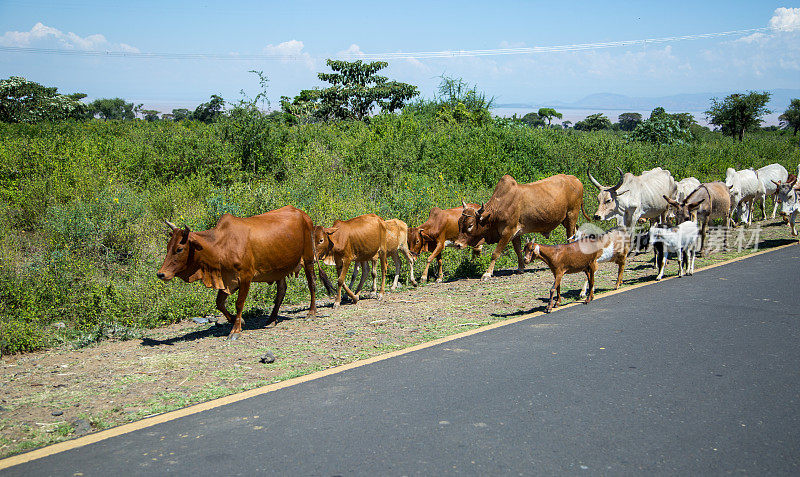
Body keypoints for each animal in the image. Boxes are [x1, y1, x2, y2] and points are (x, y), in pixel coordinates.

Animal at [156, 205, 316, 338]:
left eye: (179, 249)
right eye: (168, 246)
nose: (161, 274)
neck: (221, 246)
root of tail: (303, 214)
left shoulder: (245, 277)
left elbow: (239, 303)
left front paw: (236, 330)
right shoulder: (226, 279)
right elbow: (219, 303)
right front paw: (238, 320)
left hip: (308, 258)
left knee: (311, 284)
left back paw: (311, 312)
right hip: (279, 268)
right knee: (281, 291)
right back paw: (271, 319)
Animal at [456, 174, 588, 278]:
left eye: (470, 225)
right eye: (459, 222)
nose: (457, 244)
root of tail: (576, 179)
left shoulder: (507, 232)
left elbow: (495, 253)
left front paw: (487, 273)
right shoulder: (515, 233)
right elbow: (518, 251)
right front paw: (521, 268)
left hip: (572, 215)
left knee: (570, 237)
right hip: (566, 220)